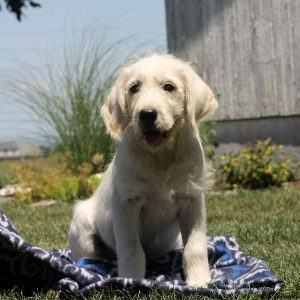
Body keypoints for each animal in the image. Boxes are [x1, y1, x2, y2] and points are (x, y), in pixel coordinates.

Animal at [68, 52, 218, 288]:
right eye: (134, 88)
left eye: (169, 87)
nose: (147, 114)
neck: (160, 157)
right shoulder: (127, 204)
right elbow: (132, 249)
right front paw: (131, 279)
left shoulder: (192, 199)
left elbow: (195, 247)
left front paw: (199, 281)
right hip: (82, 224)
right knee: (91, 257)